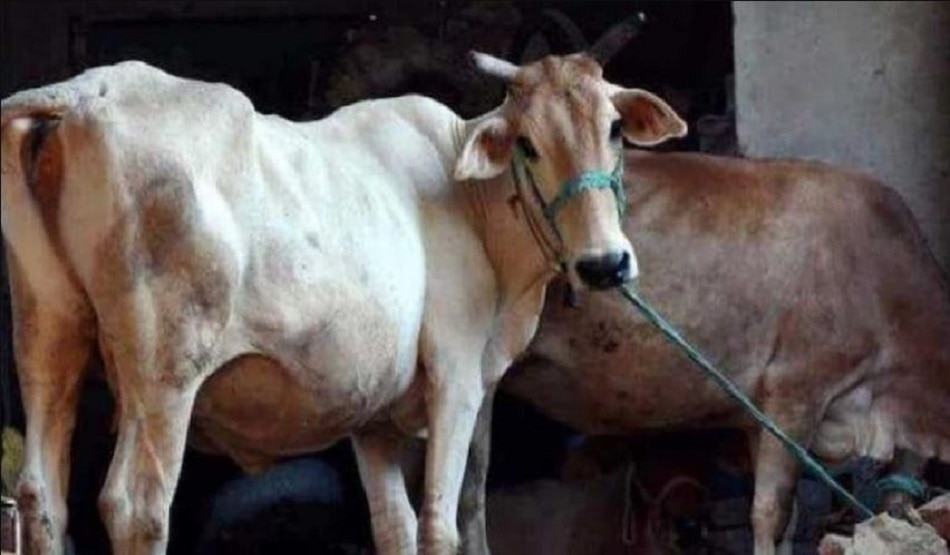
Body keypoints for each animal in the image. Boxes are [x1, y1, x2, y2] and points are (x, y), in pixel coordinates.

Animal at [0, 30, 687, 555]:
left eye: (615, 129)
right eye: (527, 143)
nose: (605, 264)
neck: (471, 201)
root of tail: (87, 92)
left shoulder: (374, 416)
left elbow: (395, 526)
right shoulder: (458, 377)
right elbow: (441, 524)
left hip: (48, 333)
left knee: (39, 496)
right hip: (165, 373)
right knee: (136, 507)